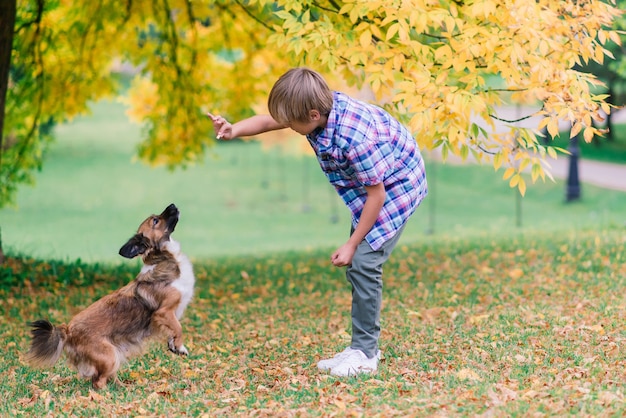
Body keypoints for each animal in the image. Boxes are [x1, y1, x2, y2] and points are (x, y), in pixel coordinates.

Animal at [24, 204, 194, 390]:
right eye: (155, 220)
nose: (173, 205)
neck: (161, 259)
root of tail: (67, 331)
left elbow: (174, 330)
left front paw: (174, 345)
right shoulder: (164, 312)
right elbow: (179, 327)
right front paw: (180, 346)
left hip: (114, 354)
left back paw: (123, 387)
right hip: (109, 356)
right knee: (97, 381)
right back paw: (106, 393)